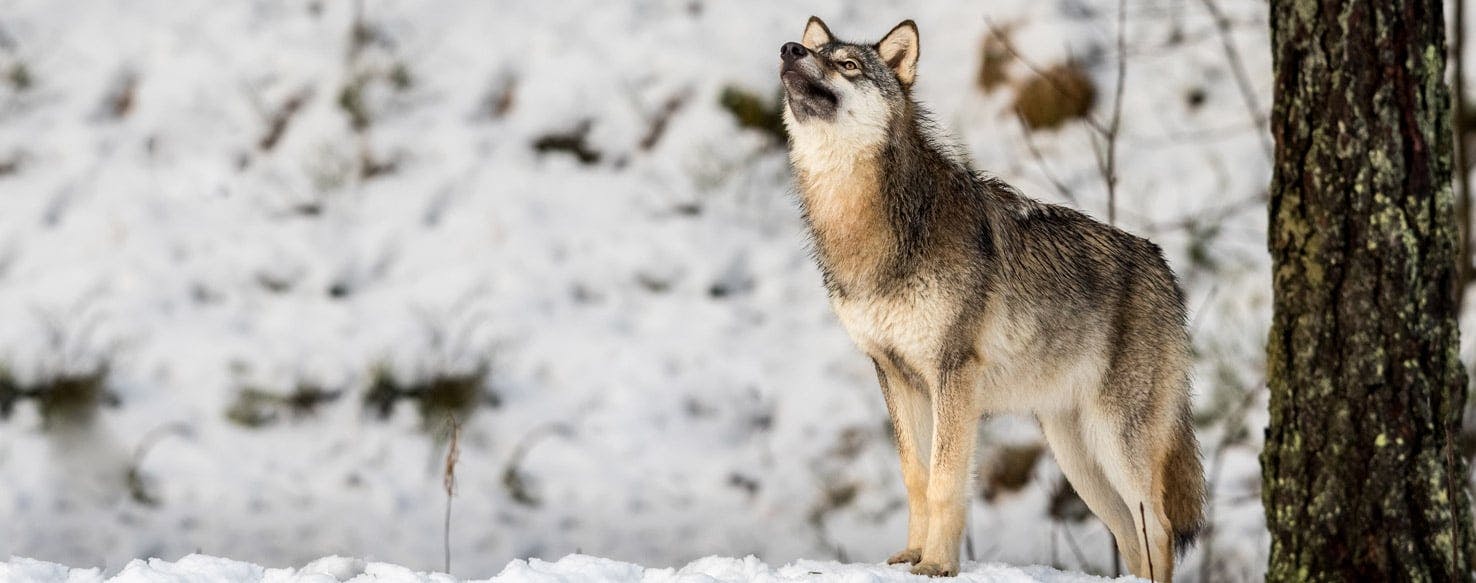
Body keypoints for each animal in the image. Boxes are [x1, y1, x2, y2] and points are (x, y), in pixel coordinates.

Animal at [779, 17, 1204, 578]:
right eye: (813, 50)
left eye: (847, 64)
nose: (789, 49)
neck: (868, 231)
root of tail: (1167, 272)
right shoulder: (893, 374)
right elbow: (915, 476)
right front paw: (910, 556)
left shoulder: (952, 372)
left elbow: (944, 482)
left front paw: (936, 565)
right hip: (1076, 456)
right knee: (1129, 533)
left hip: (1117, 442)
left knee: (1158, 527)